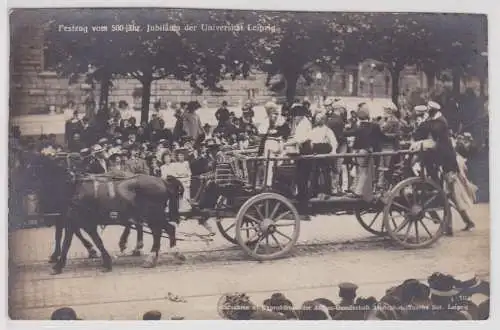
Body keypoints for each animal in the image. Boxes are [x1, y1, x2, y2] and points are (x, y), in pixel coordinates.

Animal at [23, 153, 184, 274]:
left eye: (30, 167)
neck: (73, 186)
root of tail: (163, 181)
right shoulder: (82, 221)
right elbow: (95, 240)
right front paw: (105, 260)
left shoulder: (72, 219)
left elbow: (66, 242)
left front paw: (58, 265)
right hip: (151, 216)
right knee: (163, 230)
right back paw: (162, 254)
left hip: (153, 215)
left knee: (163, 230)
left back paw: (156, 255)